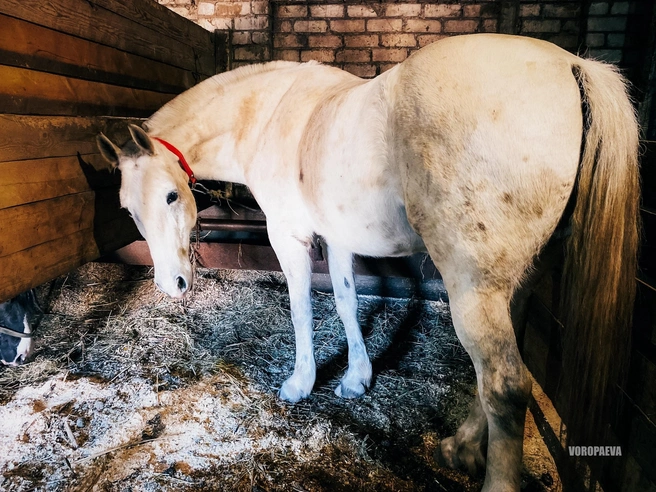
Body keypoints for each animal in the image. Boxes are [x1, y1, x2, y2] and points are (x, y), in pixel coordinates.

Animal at [97, 34, 639, 490]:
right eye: (128, 209)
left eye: (171, 196)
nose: (172, 284)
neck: (268, 115)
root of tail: (570, 65)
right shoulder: (338, 240)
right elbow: (345, 303)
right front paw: (356, 378)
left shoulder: (289, 237)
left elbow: (302, 309)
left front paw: (299, 384)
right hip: (520, 281)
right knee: (496, 378)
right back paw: (460, 448)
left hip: (474, 286)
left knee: (505, 386)